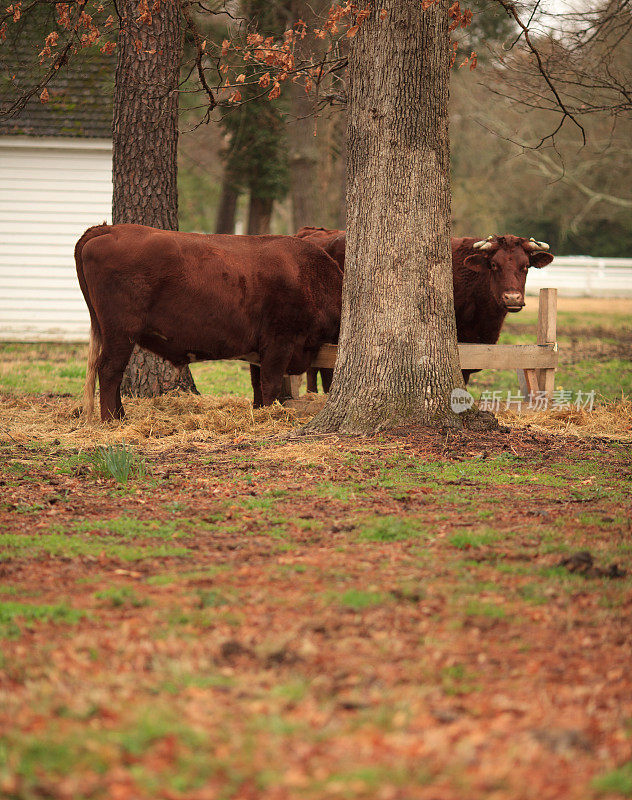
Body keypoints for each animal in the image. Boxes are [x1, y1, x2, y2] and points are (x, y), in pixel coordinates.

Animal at [76, 222, 344, 422]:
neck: (312, 277)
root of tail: (109, 229)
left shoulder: (260, 349)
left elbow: (257, 385)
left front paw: (258, 412)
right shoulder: (280, 342)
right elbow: (271, 384)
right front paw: (269, 416)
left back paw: (120, 417)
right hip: (120, 333)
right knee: (109, 370)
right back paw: (113, 420)